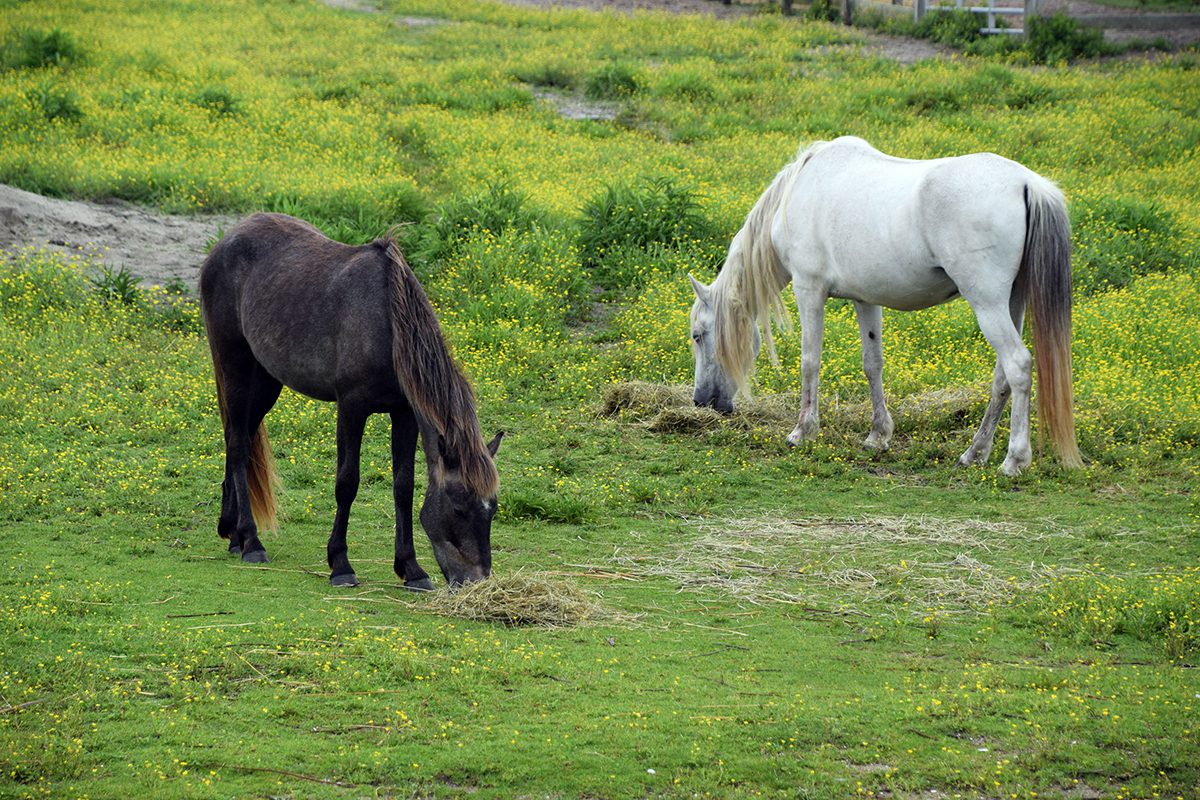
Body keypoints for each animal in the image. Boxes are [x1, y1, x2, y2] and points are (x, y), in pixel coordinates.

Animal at [201, 212, 501, 587]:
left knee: (239, 438)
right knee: (239, 444)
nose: (477, 580)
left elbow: (403, 486)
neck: (388, 325)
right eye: (459, 507)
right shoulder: (351, 408)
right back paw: (251, 541)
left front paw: (411, 568)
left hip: (267, 381)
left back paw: (231, 533)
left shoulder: (404, 414)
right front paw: (340, 564)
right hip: (235, 365)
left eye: (493, 509)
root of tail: (226, 240)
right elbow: (347, 482)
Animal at [691, 137, 1084, 474]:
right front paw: (878, 436)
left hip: (987, 303)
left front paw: (802, 432)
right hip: (1012, 302)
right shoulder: (865, 299)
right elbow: (872, 364)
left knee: (1018, 366)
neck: (800, 190)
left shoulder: (809, 289)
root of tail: (1026, 183)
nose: (700, 401)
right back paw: (975, 452)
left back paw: (1014, 460)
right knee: (1002, 376)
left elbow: (810, 361)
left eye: (698, 335)